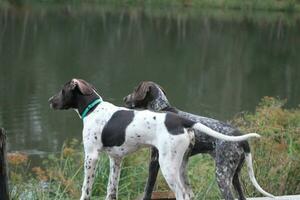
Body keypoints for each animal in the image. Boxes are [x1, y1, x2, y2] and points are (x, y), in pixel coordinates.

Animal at [48, 79, 260, 199]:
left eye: (62, 90)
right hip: (183, 166)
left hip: (169, 167)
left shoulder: (91, 156)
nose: (50, 101)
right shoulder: (116, 159)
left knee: (182, 194)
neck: (93, 109)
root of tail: (183, 120)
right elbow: (111, 190)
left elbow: (86, 189)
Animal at [123, 81, 276, 200]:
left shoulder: (154, 160)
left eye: (135, 90)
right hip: (234, 177)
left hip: (222, 176)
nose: (124, 98)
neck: (161, 108)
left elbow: (148, 189)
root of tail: (241, 139)